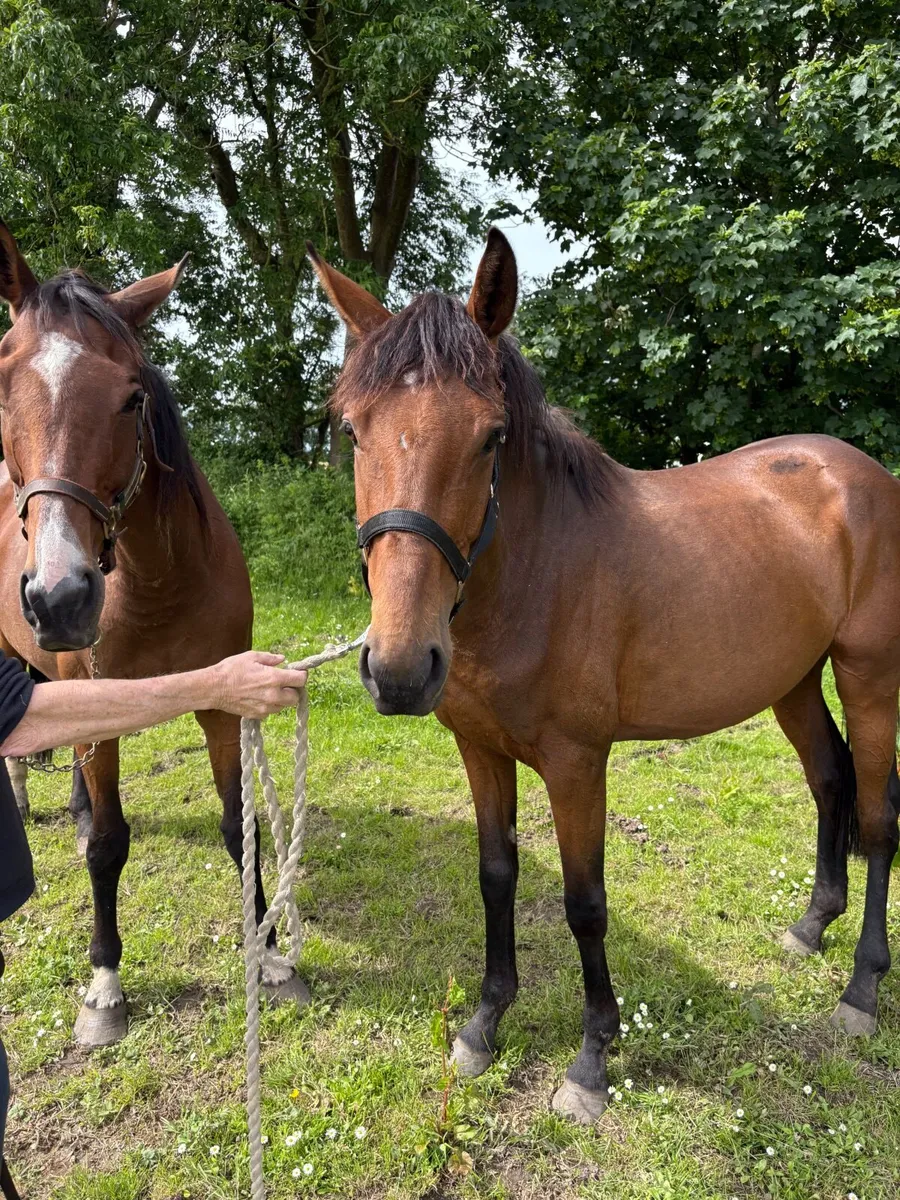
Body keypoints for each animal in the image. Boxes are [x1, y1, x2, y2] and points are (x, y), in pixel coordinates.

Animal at [0, 222, 307, 1047]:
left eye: (131, 397)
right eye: (1, 389)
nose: (60, 597)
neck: (155, 584)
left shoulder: (225, 701)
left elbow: (240, 830)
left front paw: (270, 955)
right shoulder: (97, 704)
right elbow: (111, 846)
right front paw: (105, 986)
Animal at [308, 228, 900, 1123]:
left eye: (491, 436)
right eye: (352, 431)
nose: (402, 671)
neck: (538, 575)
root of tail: (860, 474)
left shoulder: (578, 763)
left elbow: (585, 904)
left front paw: (591, 1061)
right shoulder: (480, 751)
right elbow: (496, 878)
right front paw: (484, 1025)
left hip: (869, 676)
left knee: (876, 816)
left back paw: (862, 990)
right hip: (792, 681)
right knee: (830, 781)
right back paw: (809, 928)